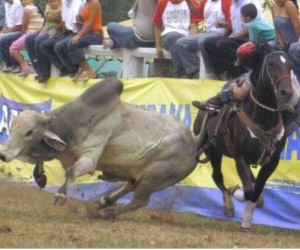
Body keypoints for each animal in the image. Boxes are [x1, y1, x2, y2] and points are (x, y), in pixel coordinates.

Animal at [0, 78, 199, 219]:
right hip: (139, 175)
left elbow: (71, 172)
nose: (3, 154)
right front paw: (40, 177)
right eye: (12, 127)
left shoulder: (89, 159)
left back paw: (108, 213)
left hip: (153, 178)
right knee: (130, 186)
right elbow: (42, 158)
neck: (77, 120)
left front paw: (60, 195)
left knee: (139, 201)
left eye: (29, 132)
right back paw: (105, 201)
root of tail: (193, 144)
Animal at [192, 41, 292, 230]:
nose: (286, 92)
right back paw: (229, 206)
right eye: (271, 64)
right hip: (213, 152)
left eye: (289, 66)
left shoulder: (272, 161)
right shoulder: (240, 157)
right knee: (217, 177)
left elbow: (256, 189)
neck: (263, 118)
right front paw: (235, 192)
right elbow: (248, 191)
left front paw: (250, 213)